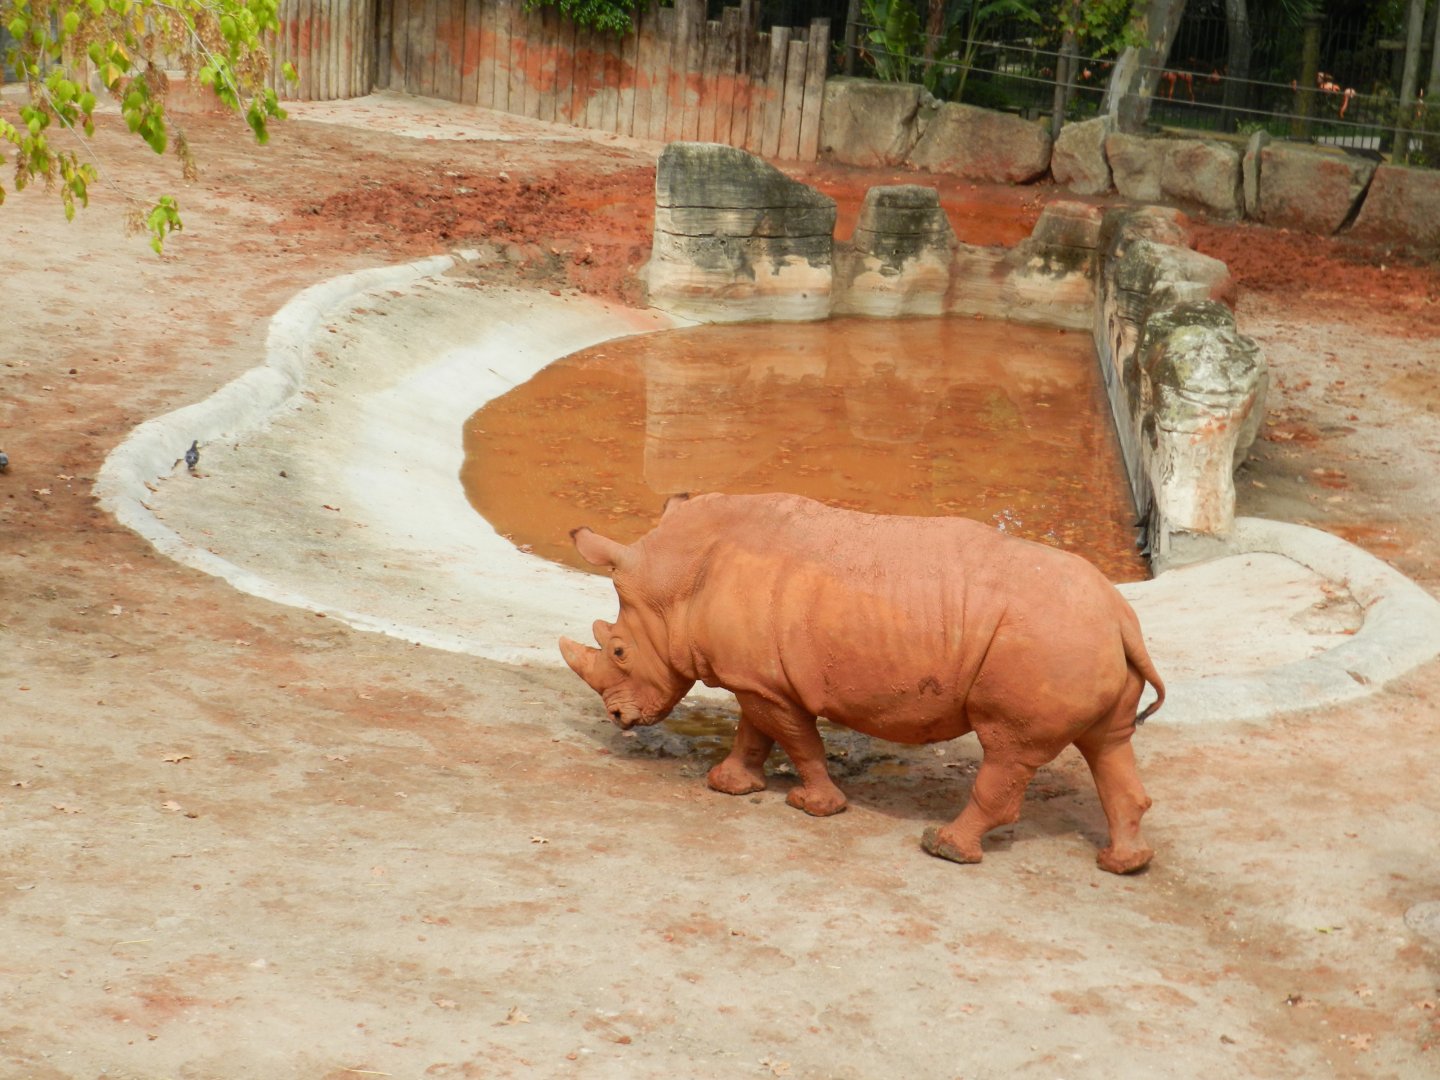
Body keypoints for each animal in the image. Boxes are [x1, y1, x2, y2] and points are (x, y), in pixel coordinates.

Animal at [559, 492, 1164, 874]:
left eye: (619, 650)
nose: (617, 718)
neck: (675, 580)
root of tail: (1119, 617)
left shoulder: (765, 682)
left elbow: (796, 738)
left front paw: (815, 807)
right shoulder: (758, 676)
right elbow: (754, 731)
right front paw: (729, 786)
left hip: (1048, 643)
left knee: (1008, 749)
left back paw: (943, 848)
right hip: (1083, 639)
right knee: (1108, 744)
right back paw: (1124, 865)